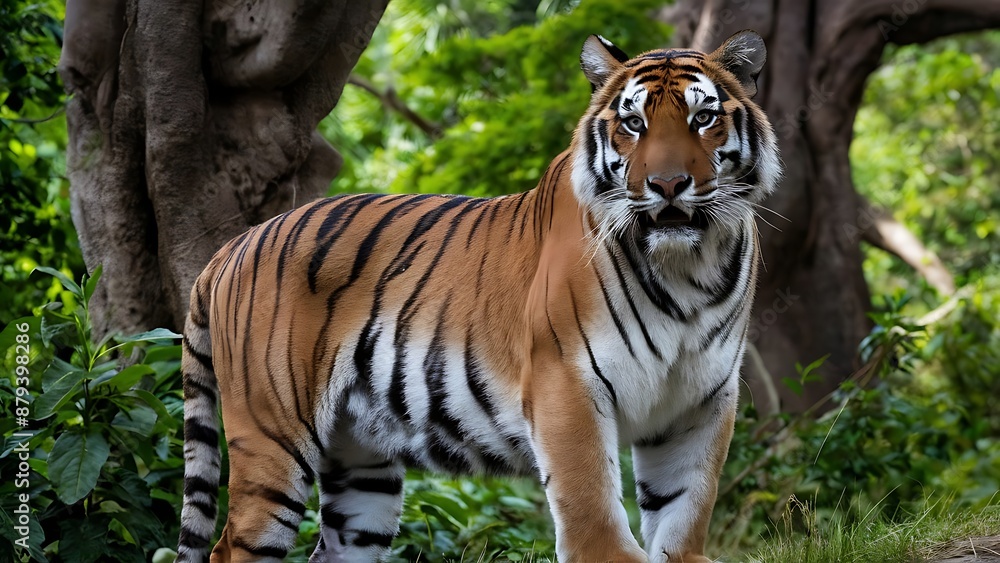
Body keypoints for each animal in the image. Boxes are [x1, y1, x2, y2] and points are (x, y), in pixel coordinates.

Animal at [178, 29, 780, 563]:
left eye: (703, 117)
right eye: (634, 123)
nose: (668, 184)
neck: (686, 271)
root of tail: (232, 246)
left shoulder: (701, 399)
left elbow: (686, 506)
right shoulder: (567, 384)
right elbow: (591, 504)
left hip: (361, 467)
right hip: (272, 435)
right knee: (230, 547)